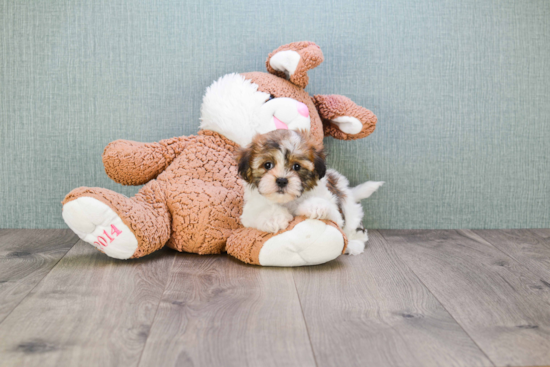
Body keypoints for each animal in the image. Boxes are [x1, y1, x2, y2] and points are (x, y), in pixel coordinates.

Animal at [236, 130, 384, 256]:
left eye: (297, 166)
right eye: (267, 165)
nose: (282, 180)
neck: (288, 200)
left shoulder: (335, 213)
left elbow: (330, 211)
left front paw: (315, 207)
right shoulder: (249, 212)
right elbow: (258, 213)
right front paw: (273, 218)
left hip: (350, 210)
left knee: (356, 230)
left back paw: (353, 245)